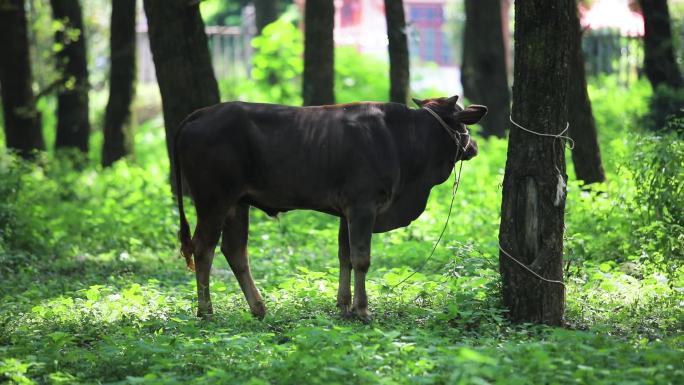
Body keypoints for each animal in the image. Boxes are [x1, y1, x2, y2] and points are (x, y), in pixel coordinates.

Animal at [176, 94, 486, 320]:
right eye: (463, 122)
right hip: (214, 201)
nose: (474, 147)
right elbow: (361, 259)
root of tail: (200, 113)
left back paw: (258, 309)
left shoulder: (346, 212)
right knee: (203, 249)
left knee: (235, 251)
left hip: (237, 204)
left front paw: (344, 305)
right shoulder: (363, 206)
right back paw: (206, 312)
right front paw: (362, 310)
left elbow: (344, 256)